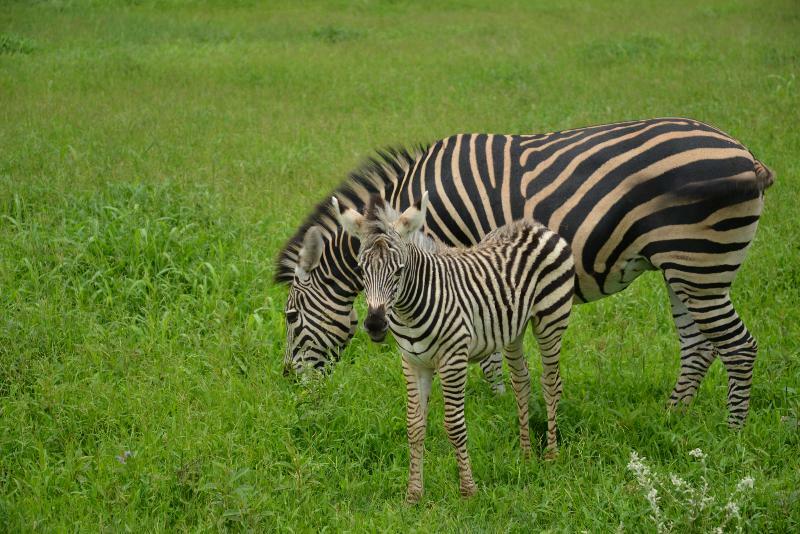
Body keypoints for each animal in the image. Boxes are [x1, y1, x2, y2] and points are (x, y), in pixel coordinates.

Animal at [278, 117, 772, 428]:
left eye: (290, 317)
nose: (290, 386)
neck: (416, 206)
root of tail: (746, 154)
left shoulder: (461, 262)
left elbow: (484, 346)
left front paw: (497, 402)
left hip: (700, 261)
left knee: (738, 347)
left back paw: (731, 434)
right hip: (684, 268)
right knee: (699, 347)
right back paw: (673, 418)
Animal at [332, 194, 576, 506]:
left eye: (399, 270)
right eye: (361, 270)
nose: (374, 324)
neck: (408, 311)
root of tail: (534, 225)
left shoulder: (453, 359)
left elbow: (454, 425)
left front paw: (468, 490)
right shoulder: (413, 362)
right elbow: (414, 425)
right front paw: (413, 495)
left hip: (551, 318)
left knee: (551, 383)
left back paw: (552, 455)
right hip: (513, 328)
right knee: (522, 382)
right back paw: (525, 454)